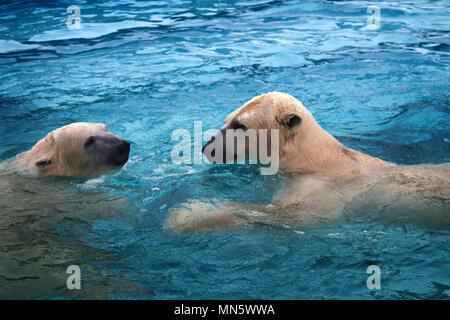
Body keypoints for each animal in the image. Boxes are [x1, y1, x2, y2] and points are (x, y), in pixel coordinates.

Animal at [168, 91, 450, 231]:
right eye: (227, 120)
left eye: (239, 125)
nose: (206, 147)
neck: (314, 160)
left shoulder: (321, 190)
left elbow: (292, 216)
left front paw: (185, 215)